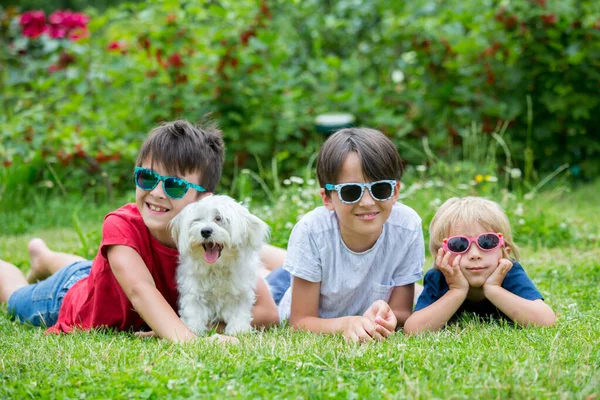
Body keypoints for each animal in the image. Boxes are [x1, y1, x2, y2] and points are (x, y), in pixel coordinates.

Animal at [171, 194, 270, 334]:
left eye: (219, 218)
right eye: (198, 220)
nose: (205, 231)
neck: (216, 268)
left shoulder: (240, 294)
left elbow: (239, 313)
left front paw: (238, 330)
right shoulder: (193, 292)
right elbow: (193, 312)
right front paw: (193, 329)